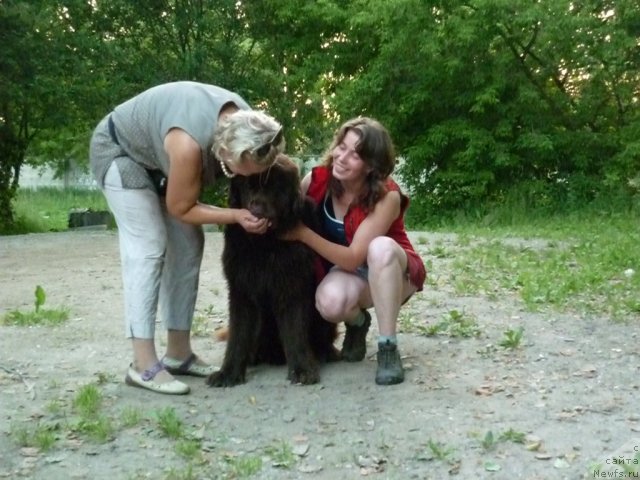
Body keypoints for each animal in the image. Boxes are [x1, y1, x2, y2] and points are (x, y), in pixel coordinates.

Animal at [209, 156, 340, 388]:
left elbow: (295, 330)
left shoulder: (293, 286)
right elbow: (238, 334)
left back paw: (326, 354)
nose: (257, 205)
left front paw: (302, 369)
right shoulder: (241, 289)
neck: (266, 243)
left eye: (274, 188)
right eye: (248, 186)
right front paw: (228, 373)